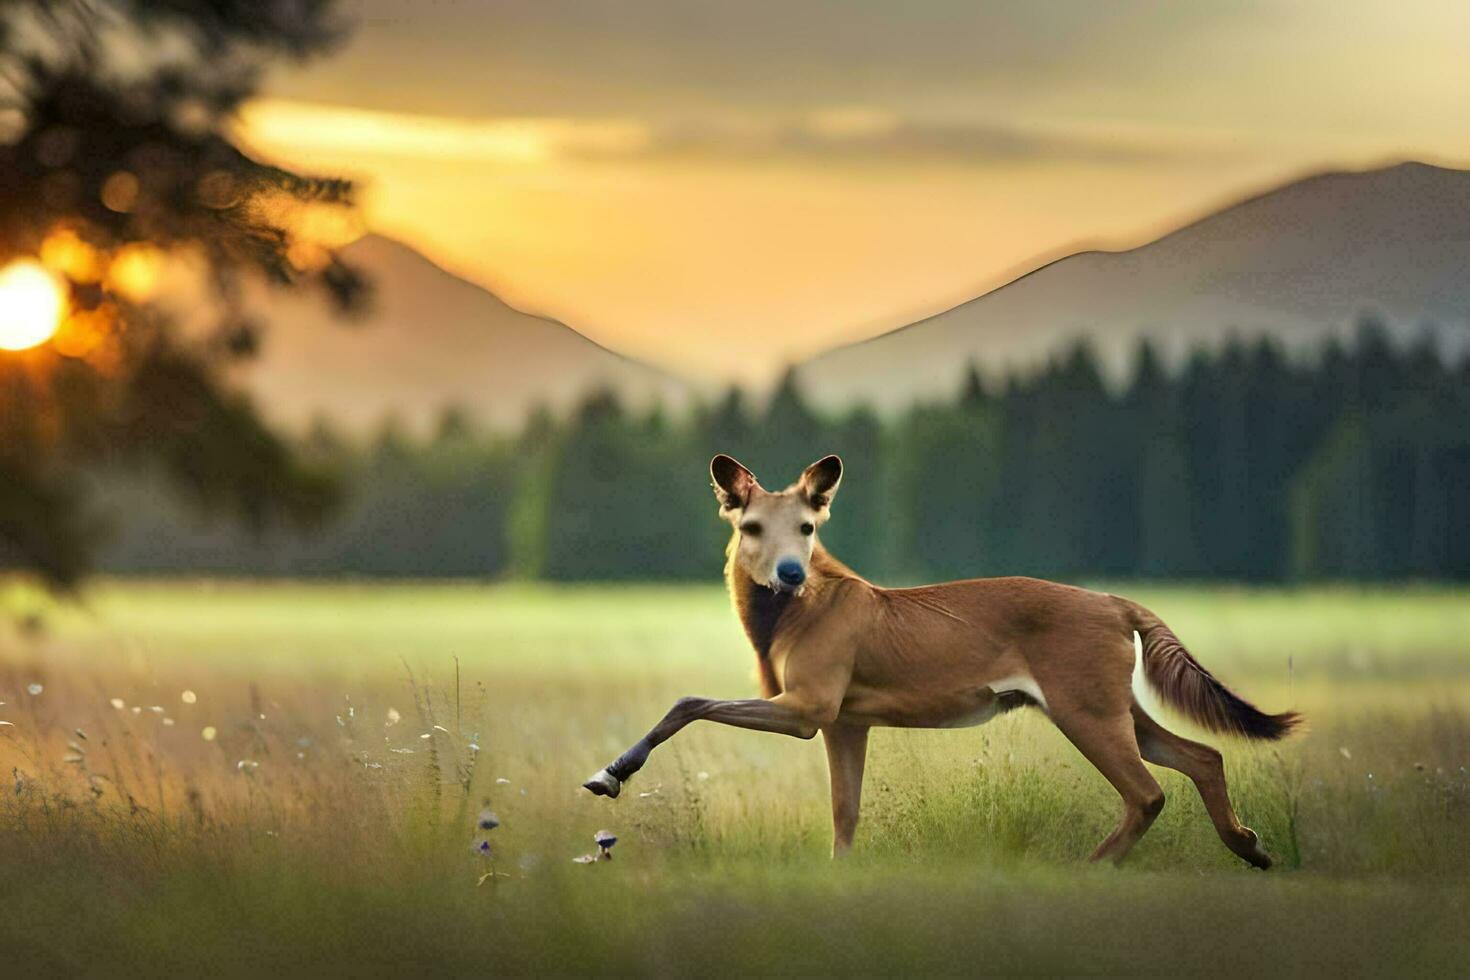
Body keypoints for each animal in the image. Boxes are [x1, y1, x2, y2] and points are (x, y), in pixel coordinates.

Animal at [585, 455, 1299, 863]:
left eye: (808, 529)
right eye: (752, 527)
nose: (790, 573)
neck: (784, 623)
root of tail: (1121, 605)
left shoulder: (811, 706)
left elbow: (689, 700)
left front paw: (611, 773)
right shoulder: (847, 720)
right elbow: (845, 816)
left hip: (1083, 708)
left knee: (1148, 792)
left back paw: (1095, 867)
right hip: (1113, 704)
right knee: (1204, 755)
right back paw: (1250, 847)